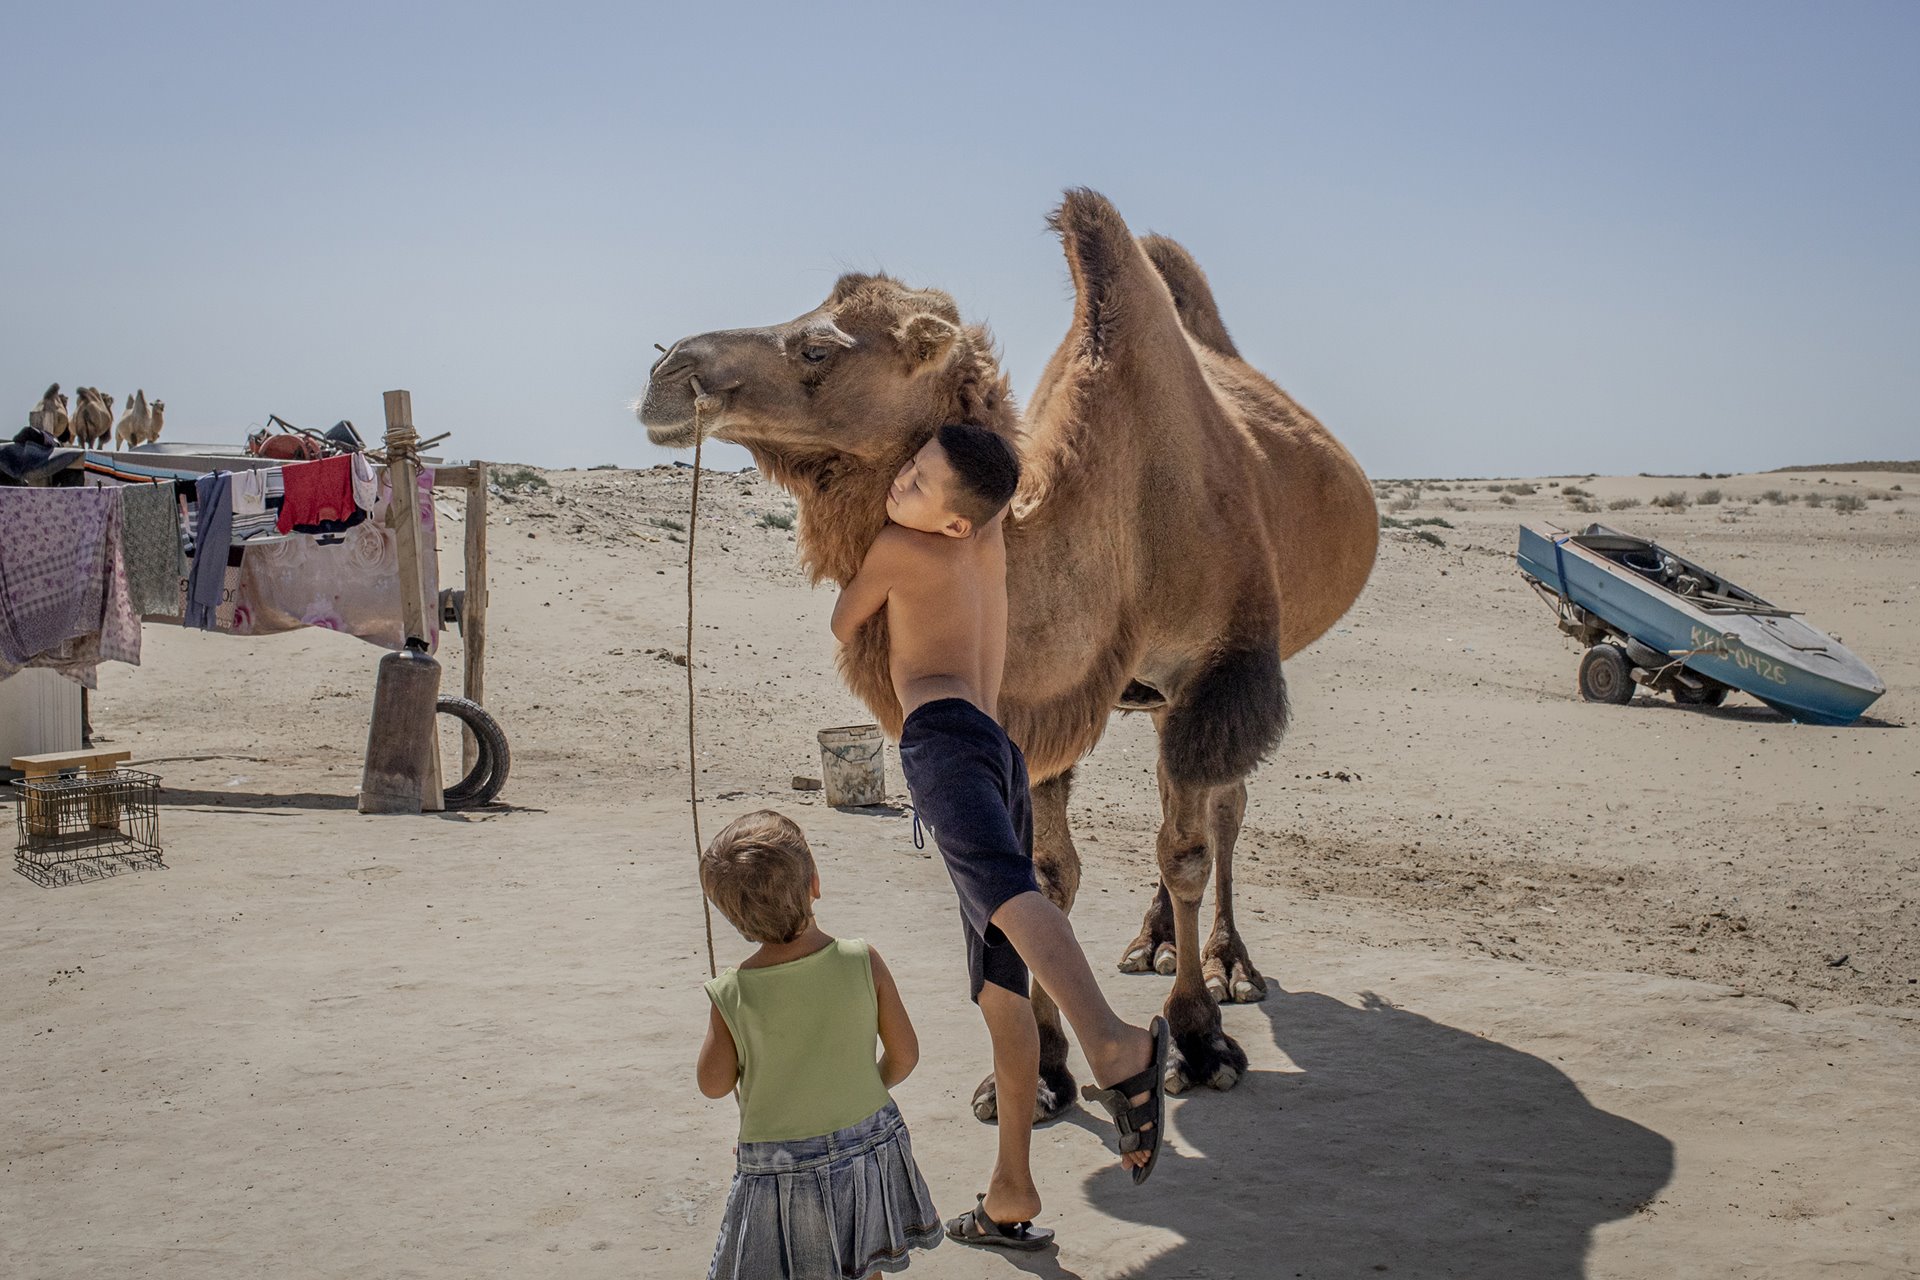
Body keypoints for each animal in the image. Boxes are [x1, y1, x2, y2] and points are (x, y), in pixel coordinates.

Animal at [645, 188, 1382, 1113]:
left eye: (819, 347)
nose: (666, 373)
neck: (1123, 523)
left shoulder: (1214, 674)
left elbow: (1184, 852)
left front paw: (1199, 1040)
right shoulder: (1036, 705)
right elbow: (1047, 874)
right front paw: (1041, 1072)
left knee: (1220, 814)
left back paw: (1225, 966)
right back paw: (1151, 944)